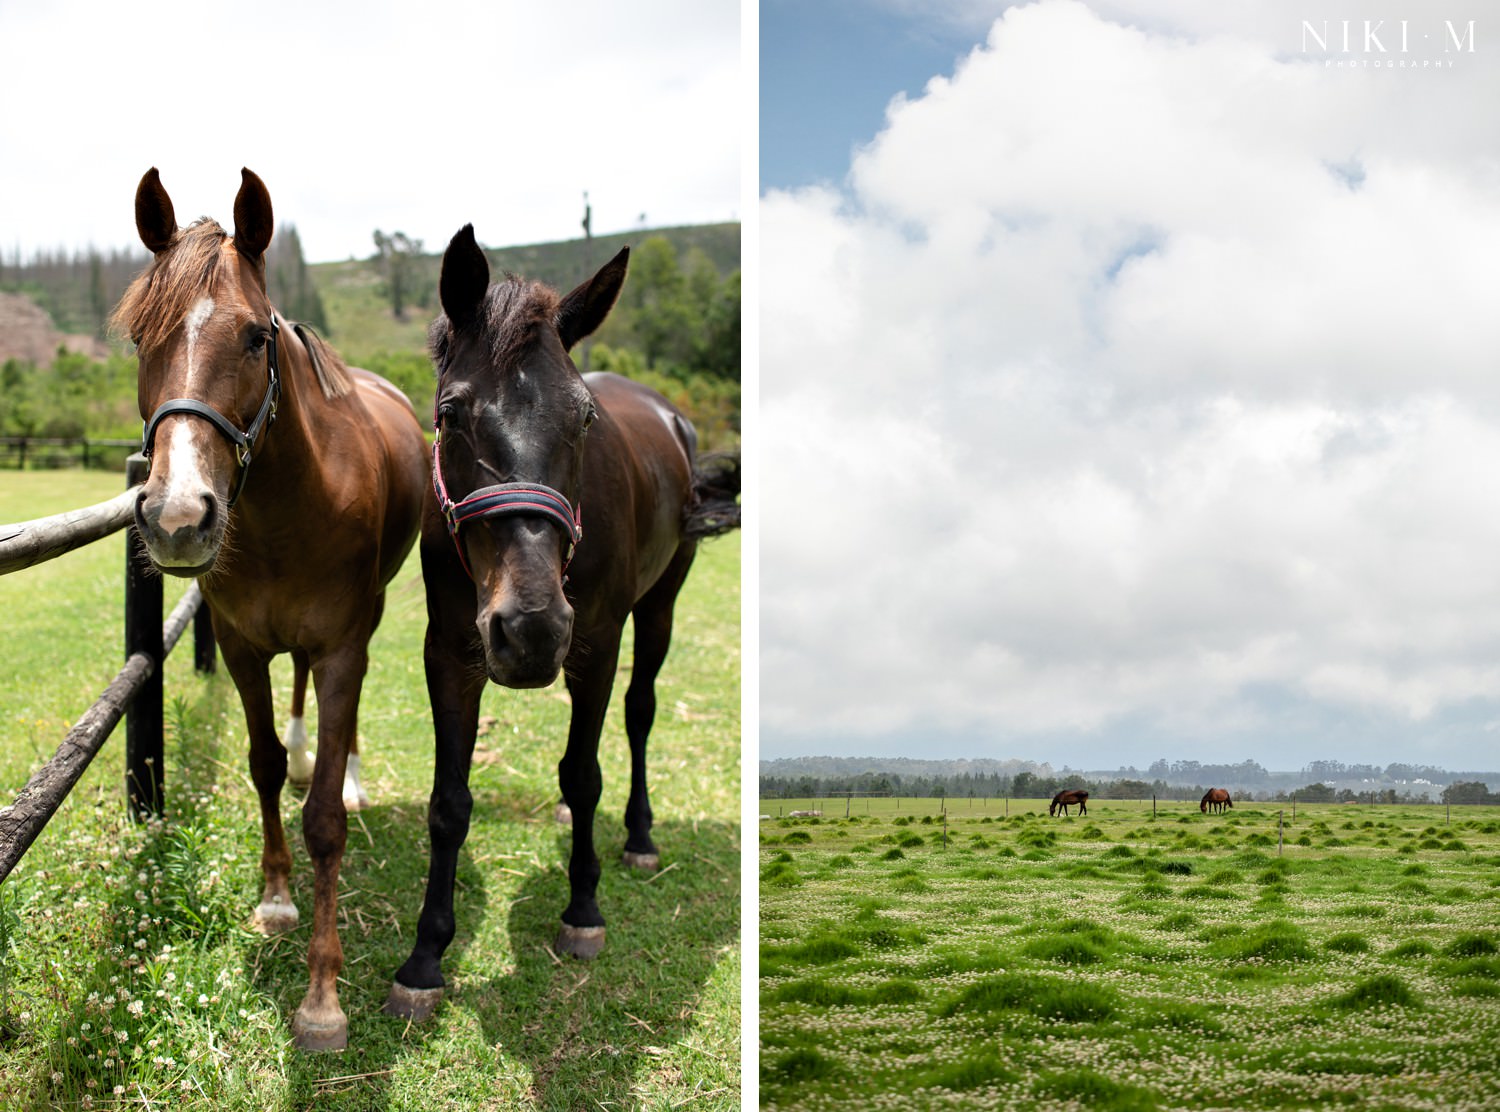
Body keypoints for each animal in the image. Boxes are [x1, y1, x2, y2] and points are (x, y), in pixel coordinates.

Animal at [109, 168, 429, 1044]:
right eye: (138, 339)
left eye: (256, 337)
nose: (177, 517)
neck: (291, 504)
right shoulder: (242, 644)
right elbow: (263, 766)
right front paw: (277, 898)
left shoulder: (343, 646)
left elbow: (323, 822)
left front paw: (322, 996)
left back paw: (347, 773)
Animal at [387, 225, 738, 1026]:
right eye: (448, 413)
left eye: (583, 418)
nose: (532, 629)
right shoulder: (449, 654)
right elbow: (449, 803)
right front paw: (425, 957)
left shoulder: (596, 645)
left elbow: (585, 772)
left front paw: (583, 909)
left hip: (660, 604)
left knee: (638, 713)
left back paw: (638, 835)